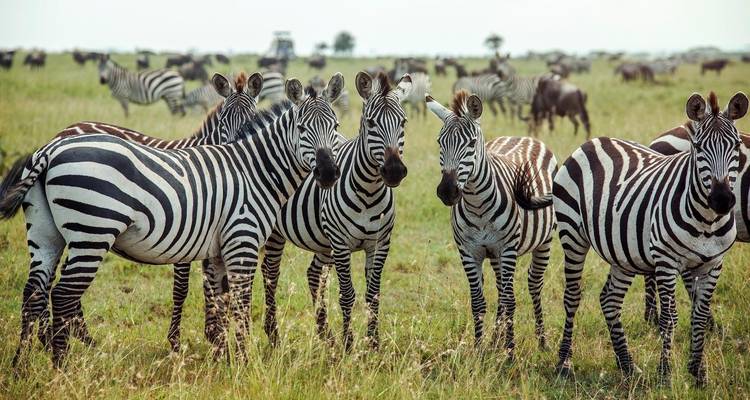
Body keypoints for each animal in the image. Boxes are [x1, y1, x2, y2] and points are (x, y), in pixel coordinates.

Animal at [1, 73, 345, 366]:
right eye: (301, 129)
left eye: (336, 125)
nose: (329, 174)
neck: (254, 169)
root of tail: (51, 148)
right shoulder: (242, 242)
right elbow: (239, 302)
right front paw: (245, 362)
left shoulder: (218, 248)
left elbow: (220, 300)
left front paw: (222, 356)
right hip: (92, 232)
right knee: (62, 296)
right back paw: (62, 365)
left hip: (47, 235)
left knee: (34, 293)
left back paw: (23, 365)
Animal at [425, 92, 557, 356]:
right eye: (439, 142)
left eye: (472, 143)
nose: (447, 191)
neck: (477, 205)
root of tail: (523, 136)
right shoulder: (468, 251)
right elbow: (478, 301)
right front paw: (479, 349)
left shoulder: (507, 249)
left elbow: (510, 300)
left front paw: (510, 353)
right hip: (495, 254)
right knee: (499, 288)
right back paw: (496, 339)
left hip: (544, 242)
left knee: (533, 284)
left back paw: (541, 341)